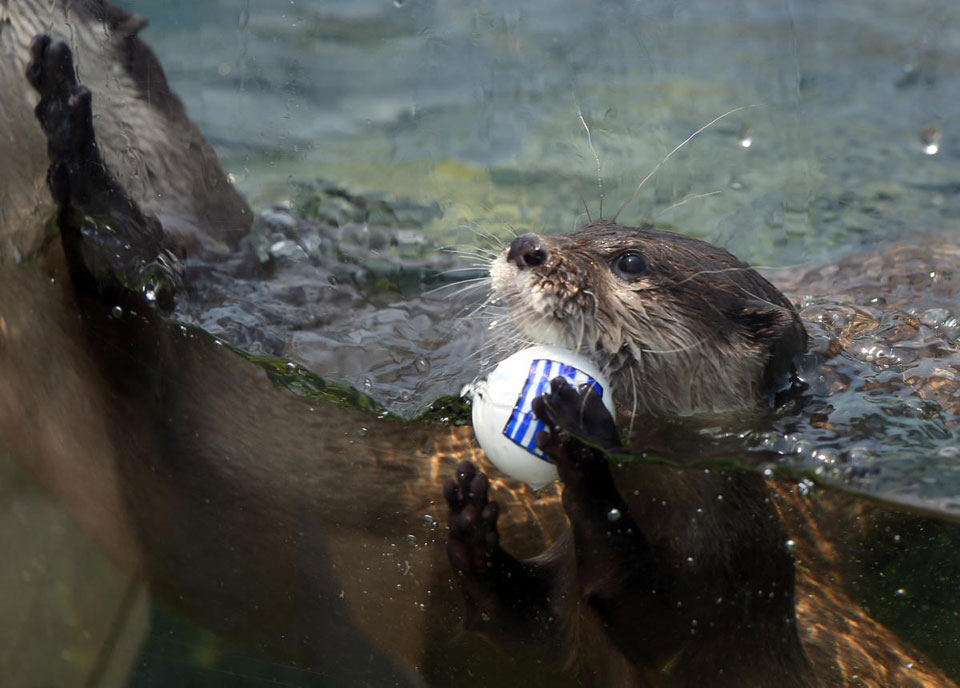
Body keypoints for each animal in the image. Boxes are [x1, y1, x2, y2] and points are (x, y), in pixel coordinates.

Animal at [3, 5, 956, 688]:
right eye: (584, 225)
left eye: (629, 260)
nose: (527, 244)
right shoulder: (559, 603)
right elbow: (522, 622)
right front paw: (469, 520)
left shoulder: (726, 579)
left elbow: (651, 611)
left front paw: (580, 440)